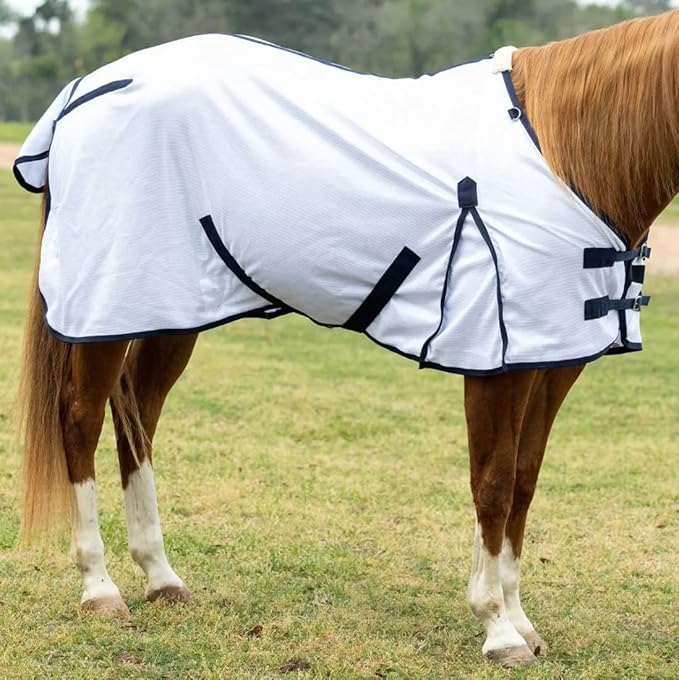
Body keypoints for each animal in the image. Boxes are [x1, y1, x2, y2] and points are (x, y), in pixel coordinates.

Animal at [14, 10, 677, 669]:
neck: (569, 156)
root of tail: (84, 91)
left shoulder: (553, 360)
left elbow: (524, 482)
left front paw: (519, 620)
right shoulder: (497, 365)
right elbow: (492, 485)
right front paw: (498, 628)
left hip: (170, 307)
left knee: (138, 415)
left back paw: (160, 576)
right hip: (106, 305)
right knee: (81, 417)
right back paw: (100, 588)